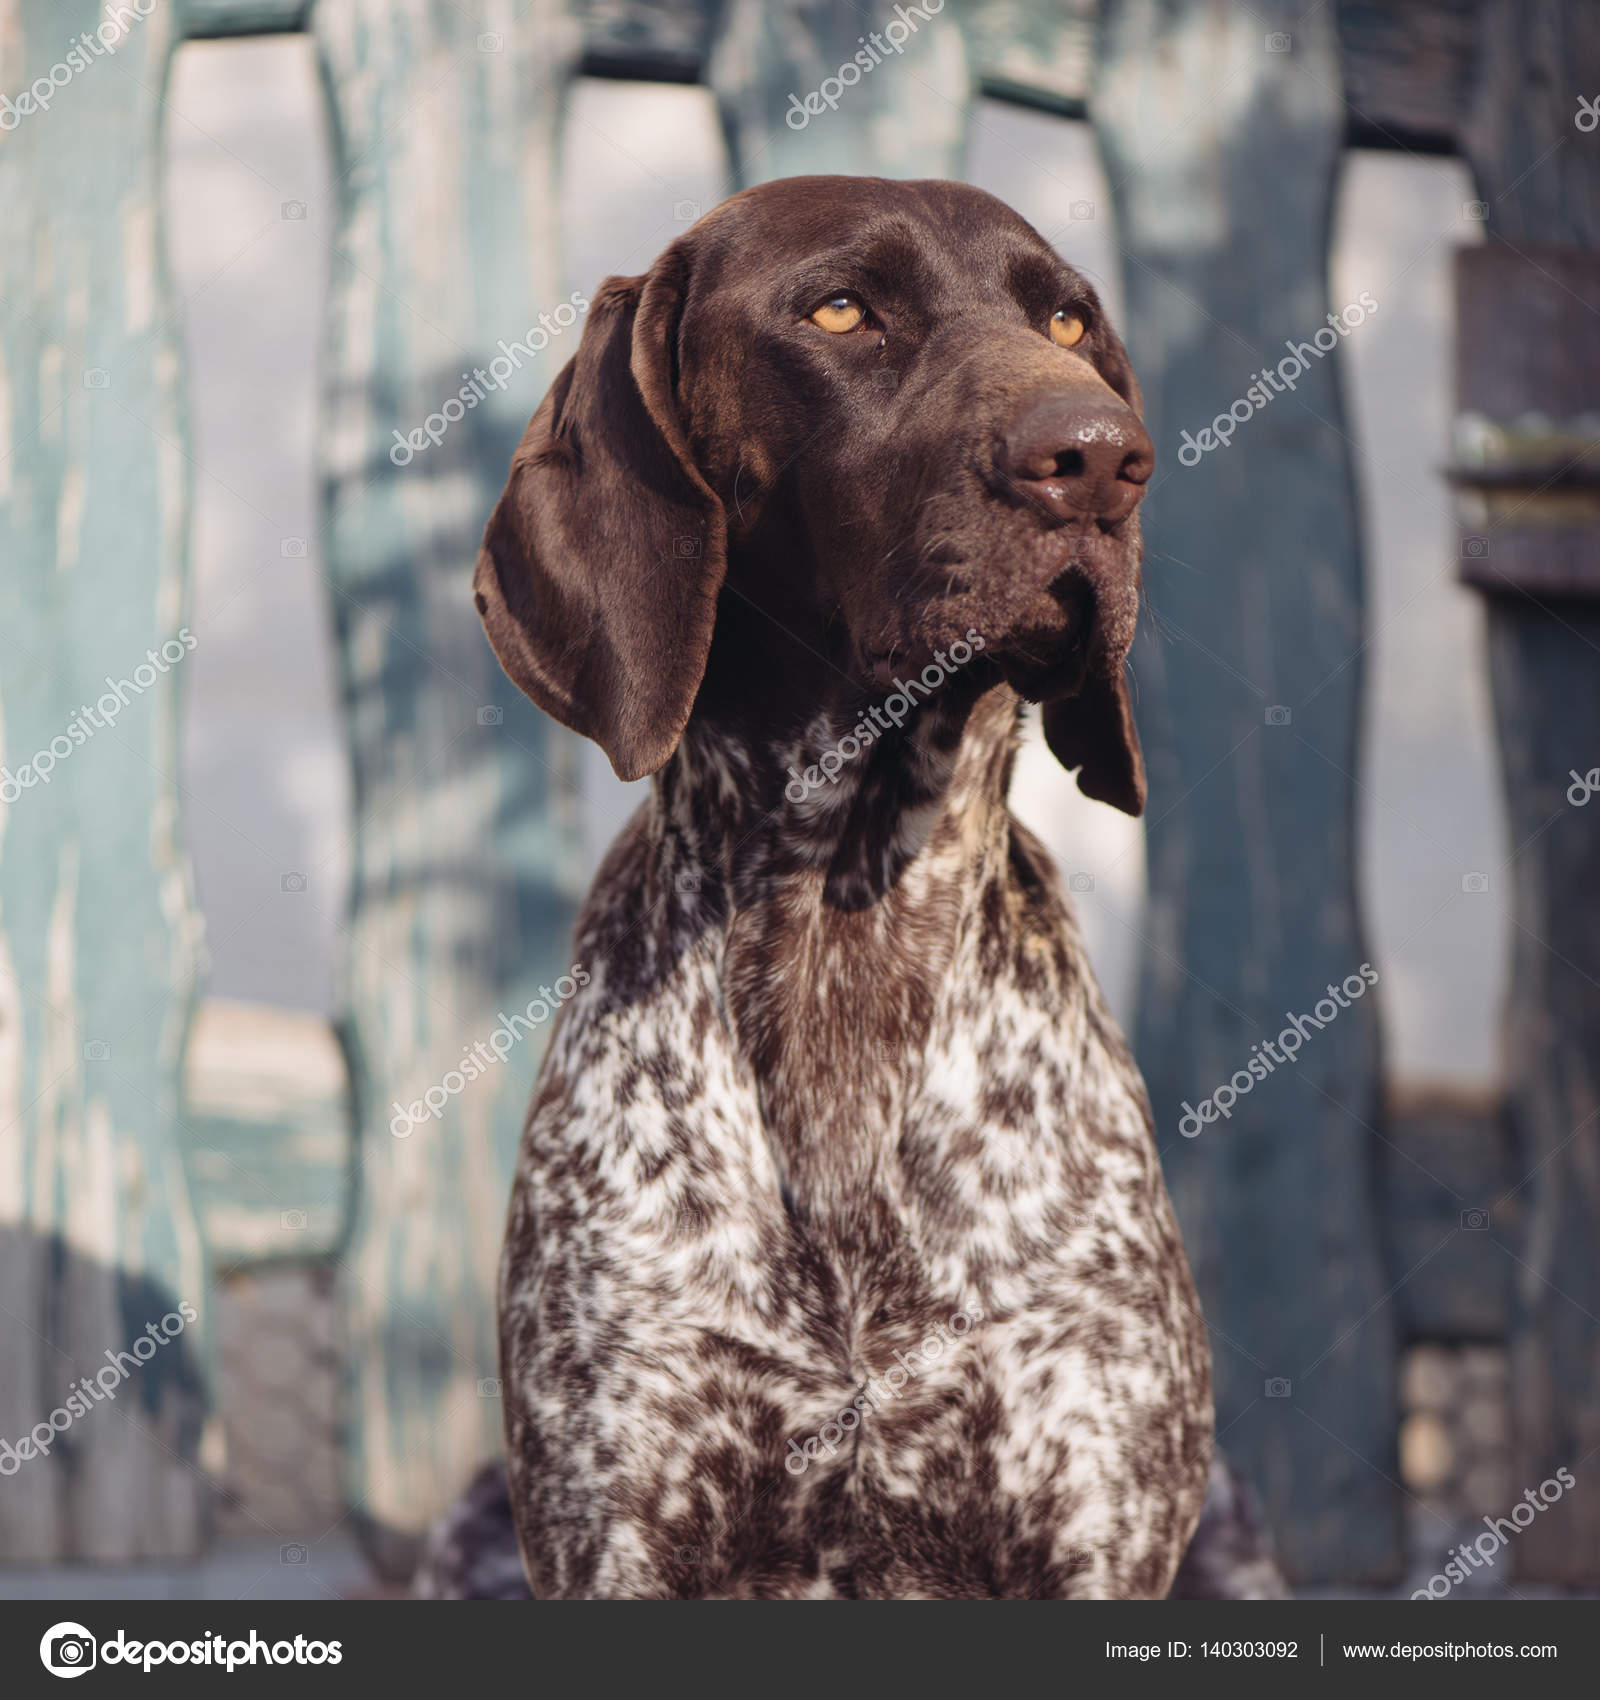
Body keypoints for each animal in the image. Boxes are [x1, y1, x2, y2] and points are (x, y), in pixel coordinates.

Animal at [466, 175, 1214, 1599]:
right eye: (840, 310)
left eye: (1065, 321)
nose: (1101, 456)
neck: (844, 904)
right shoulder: (614, 1523)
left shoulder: (1095, 1510)